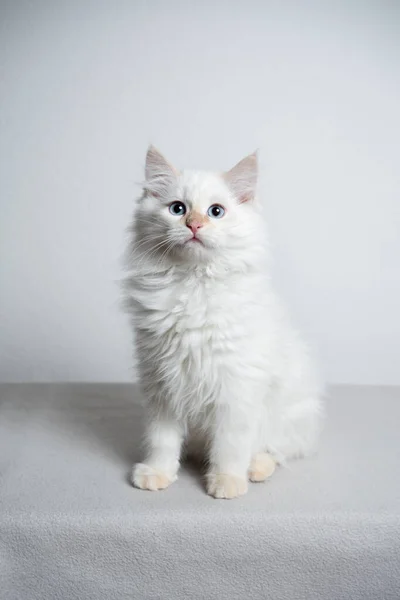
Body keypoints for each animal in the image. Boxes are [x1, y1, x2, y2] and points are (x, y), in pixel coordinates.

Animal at [125, 146, 322, 502]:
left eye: (216, 212)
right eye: (177, 209)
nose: (194, 224)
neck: (192, 283)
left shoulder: (236, 388)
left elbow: (230, 445)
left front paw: (226, 481)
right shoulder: (161, 383)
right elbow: (161, 441)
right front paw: (157, 473)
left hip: (288, 418)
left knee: (275, 451)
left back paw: (255, 469)